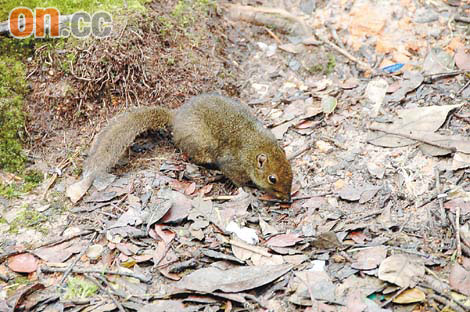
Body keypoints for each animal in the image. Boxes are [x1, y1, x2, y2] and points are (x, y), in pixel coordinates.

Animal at [66, 94, 292, 204]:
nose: (288, 199)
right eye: (272, 179)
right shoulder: (233, 163)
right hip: (201, 145)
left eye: (291, 172)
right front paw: (249, 190)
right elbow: (236, 178)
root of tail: (175, 119)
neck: (257, 145)